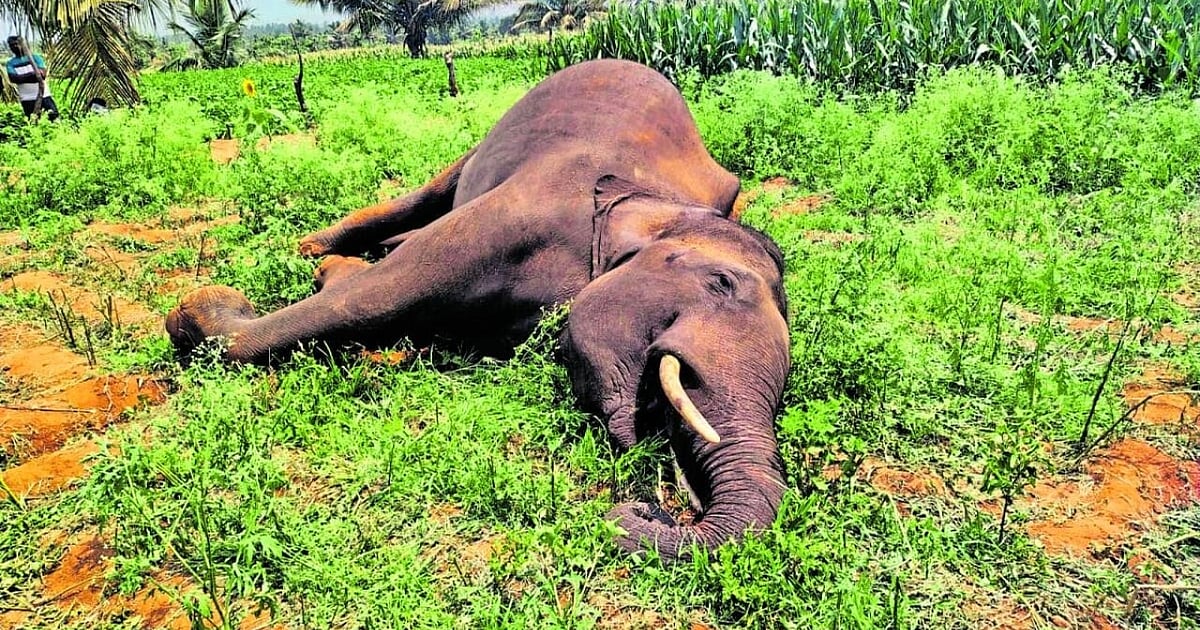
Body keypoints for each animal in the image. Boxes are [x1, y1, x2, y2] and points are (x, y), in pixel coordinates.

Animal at [166, 59, 791, 562]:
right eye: (720, 282)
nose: (643, 508)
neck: (658, 200)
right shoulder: (525, 208)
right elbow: (373, 297)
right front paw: (203, 310)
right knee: (425, 195)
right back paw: (311, 249)